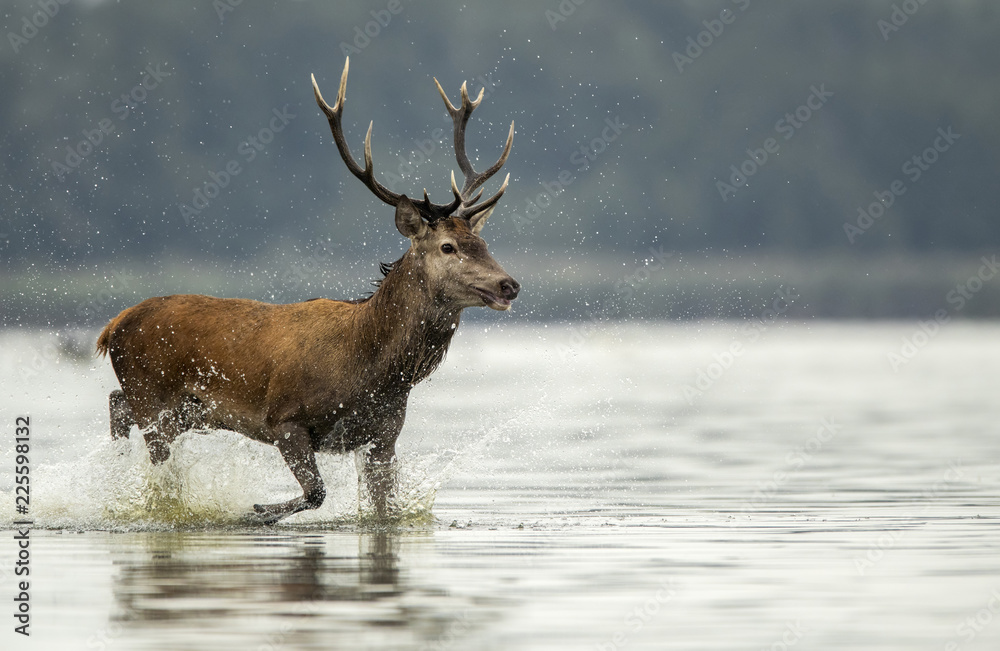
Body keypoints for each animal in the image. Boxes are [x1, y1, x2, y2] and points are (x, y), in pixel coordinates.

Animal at [96, 57, 519, 524]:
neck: (373, 370)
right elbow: (315, 491)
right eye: (448, 246)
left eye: (482, 242)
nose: (509, 284)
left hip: (186, 410)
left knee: (116, 402)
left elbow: (384, 509)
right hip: (155, 399)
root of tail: (112, 326)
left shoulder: (383, 437)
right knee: (150, 447)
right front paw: (256, 510)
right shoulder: (284, 418)